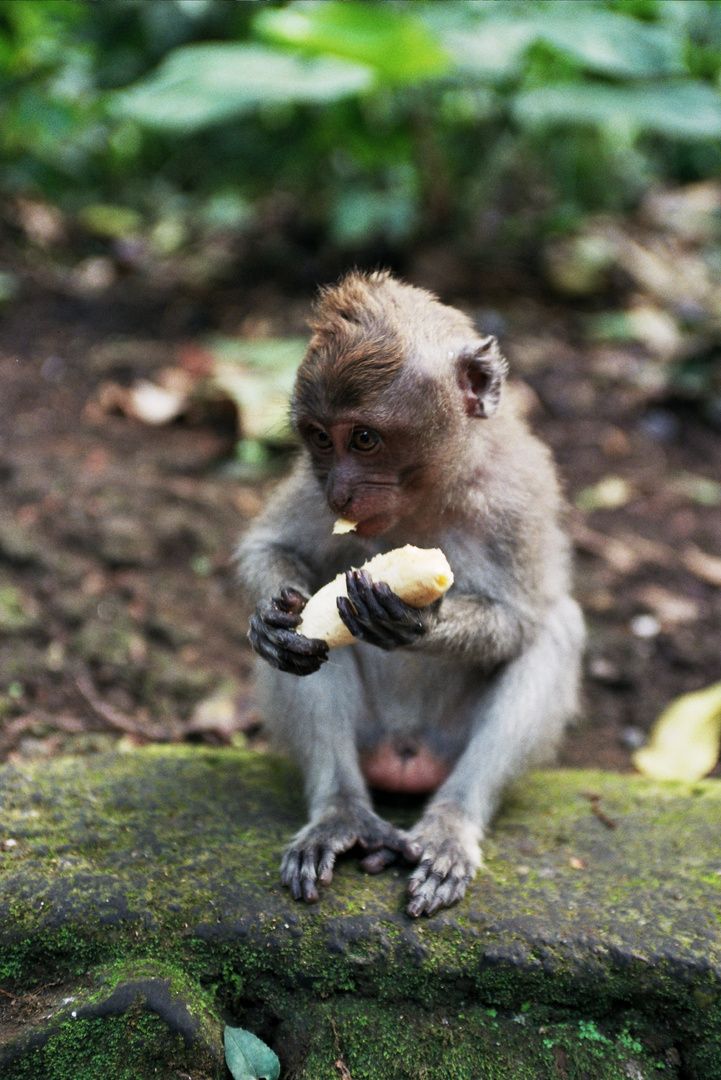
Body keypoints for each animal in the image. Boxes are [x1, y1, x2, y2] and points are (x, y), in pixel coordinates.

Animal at [236, 265, 587, 915]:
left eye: (364, 439)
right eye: (320, 438)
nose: (341, 492)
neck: (429, 493)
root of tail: (404, 757)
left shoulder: (520, 493)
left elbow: (523, 619)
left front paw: (417, 622)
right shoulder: (311, 486)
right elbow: (270, 550)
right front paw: (269, 621)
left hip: (448, 742)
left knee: (557, 628)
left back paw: (451, 824)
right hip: (368, 735)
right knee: (308, 656)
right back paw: (341, 812)